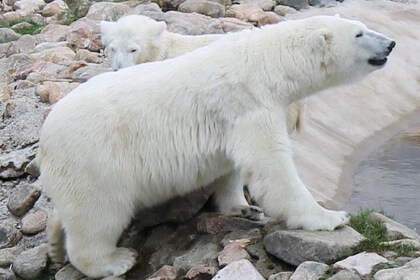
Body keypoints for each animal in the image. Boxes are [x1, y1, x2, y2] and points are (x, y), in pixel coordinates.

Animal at [37, 15, 396, 278]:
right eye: (359, 33)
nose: (391, 43)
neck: (268, 64)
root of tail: (45, 135)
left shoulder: (232, 119)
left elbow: (232, 164)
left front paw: (243, 207)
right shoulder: (249, 102)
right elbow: (271, 164)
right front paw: (329, 216)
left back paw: (54, 240)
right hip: (94, 160)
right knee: (96, 215)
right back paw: (114, 259)